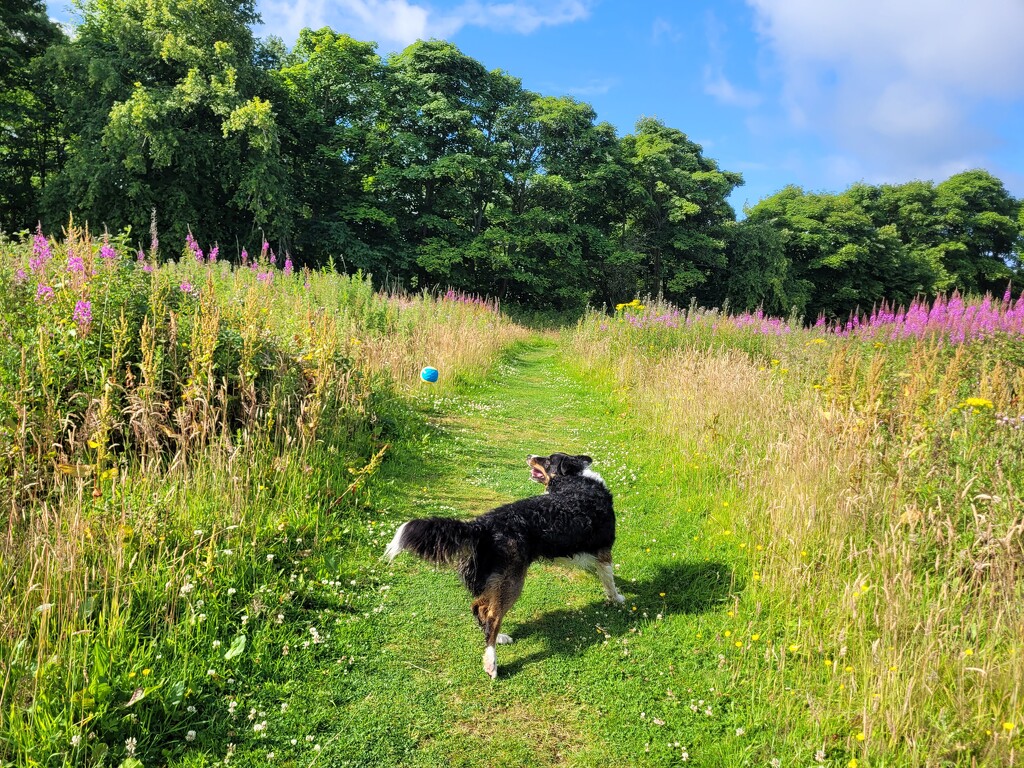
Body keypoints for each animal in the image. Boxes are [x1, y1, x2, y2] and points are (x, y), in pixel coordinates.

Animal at [385, 450, 622, 679]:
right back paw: (491, 661)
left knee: (479, 607)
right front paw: (617, 599)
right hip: (512, 580)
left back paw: (498, 637)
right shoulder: (604, 553)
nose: (529, 456)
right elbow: (609, 581)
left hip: (494, 578)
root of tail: (483, 524)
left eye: (547, 460)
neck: (575, 479)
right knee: (492, 615)